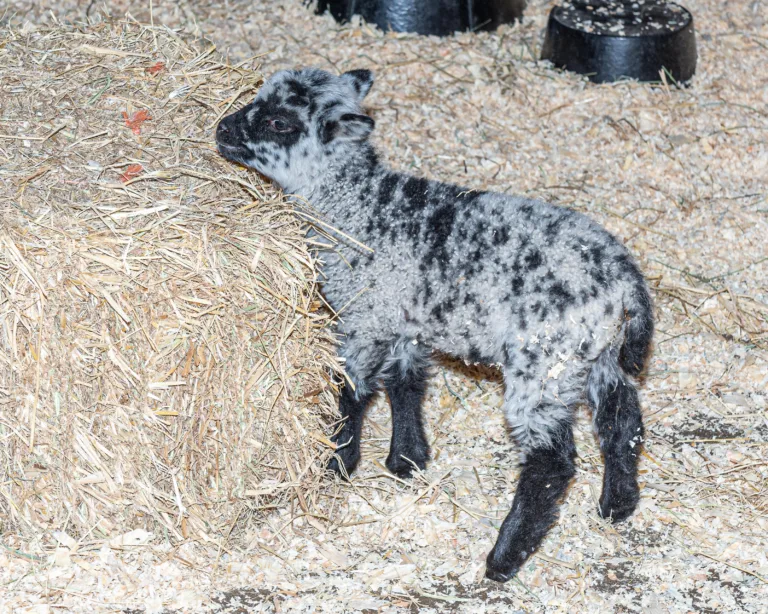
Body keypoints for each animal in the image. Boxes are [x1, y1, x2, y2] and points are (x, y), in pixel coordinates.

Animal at [215, 67, 654, 583]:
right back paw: (617, 505)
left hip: (543, 361)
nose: (222, 129)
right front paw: (407, 458)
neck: (355, 208)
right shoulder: (403, 320)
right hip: (597, 354)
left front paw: (339, 460)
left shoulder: (363, 318)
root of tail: (624, 279)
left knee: (553, 462)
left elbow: (351, 391)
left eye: (279, 122)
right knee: (622, 420)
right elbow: (405, 384)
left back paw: (504, 558)